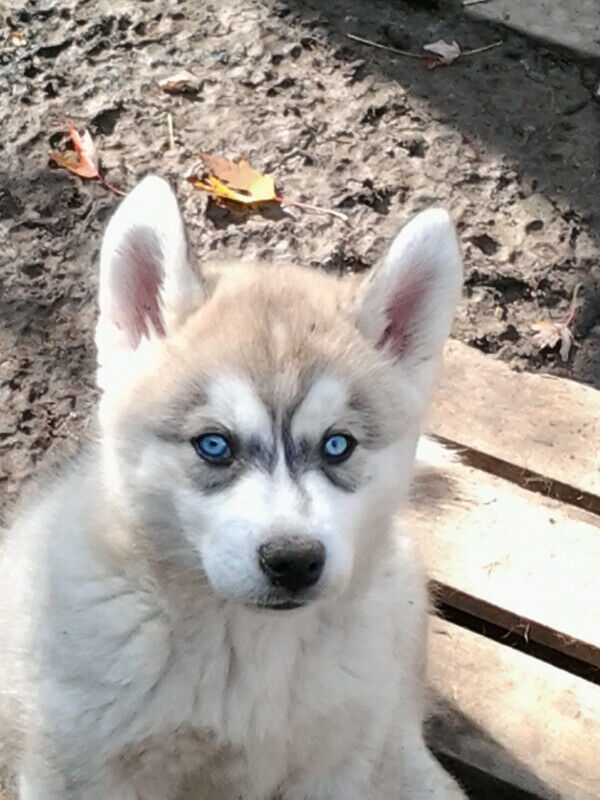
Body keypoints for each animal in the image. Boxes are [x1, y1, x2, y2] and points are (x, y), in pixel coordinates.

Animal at [0, 177, 464, 800]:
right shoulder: (77, 767)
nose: (293, 561)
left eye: (337, 445)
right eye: (214, 445)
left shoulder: (334, 765)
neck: (248, 650)